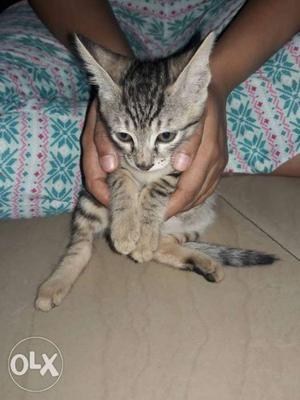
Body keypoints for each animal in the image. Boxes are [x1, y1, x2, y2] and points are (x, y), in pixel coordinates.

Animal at [34, 32, 274, 310]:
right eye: (124, 136)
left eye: (166, 136)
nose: (144, 164)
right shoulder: (112, 158)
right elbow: (121, 178)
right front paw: (126, 226)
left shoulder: (183, 163)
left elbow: (157, 189)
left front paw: (144, 233)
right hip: (91, 199)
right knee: (81, 246)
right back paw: (56, 283)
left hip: (199, 214)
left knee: (162, 246)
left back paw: (197, 260)